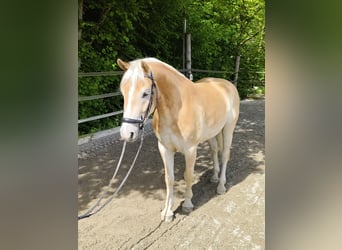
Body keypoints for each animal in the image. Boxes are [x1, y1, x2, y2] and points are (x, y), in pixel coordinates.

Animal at [117, 57, 240, 221]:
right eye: (123, 92)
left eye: (145, 93)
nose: (127, 133)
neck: (176, 111)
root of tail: (227, 85)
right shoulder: (164, 148)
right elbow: (169, 178)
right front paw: (167, 212)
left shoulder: (190, 150)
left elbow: (188, 176)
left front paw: (187, 204)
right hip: (212, 134)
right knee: (214, 151)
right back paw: (214, 177)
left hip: (228, 129)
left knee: (225, 155)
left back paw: (221, 186)